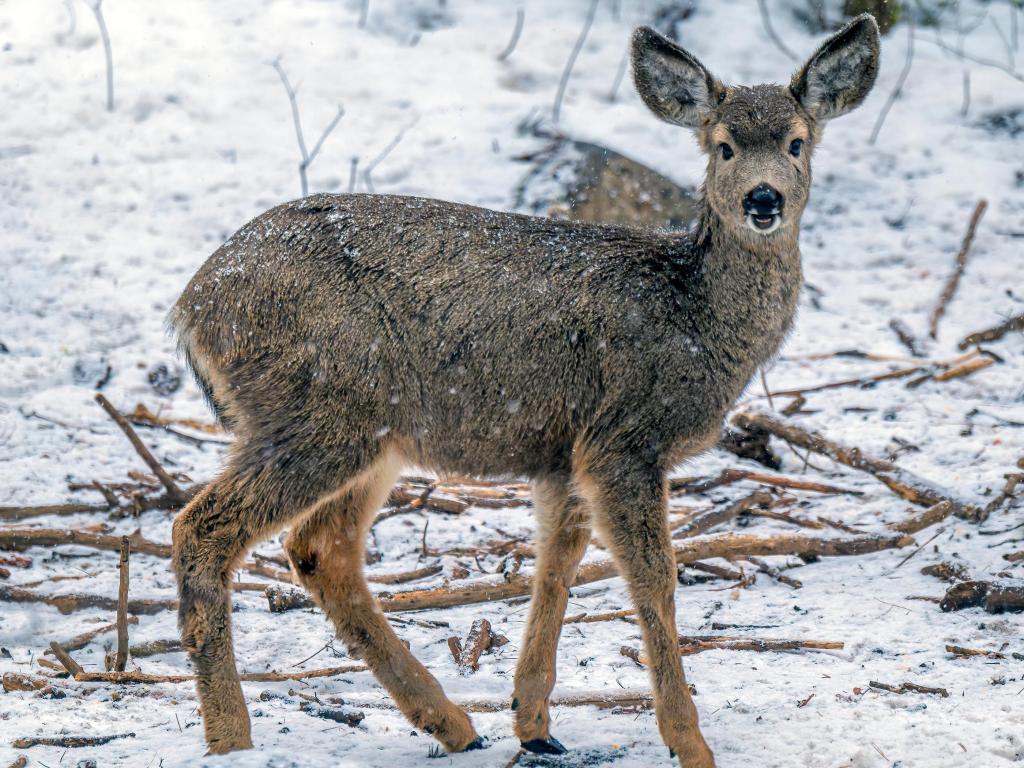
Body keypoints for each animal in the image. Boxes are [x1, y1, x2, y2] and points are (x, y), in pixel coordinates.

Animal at [169, 13, 880, 768]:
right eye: (722, 147)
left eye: (798, 142)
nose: (763, 199)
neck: (693, 315)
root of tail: (192, 307)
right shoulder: (623, 438)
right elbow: (655, 582)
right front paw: (691, 744)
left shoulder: (563, 453)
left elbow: (555, 568)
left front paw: (534, 721)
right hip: (317, 410)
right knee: (203, 528)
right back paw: (232, 737)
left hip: (370, 432)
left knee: (320, 548)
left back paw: (452, 723)